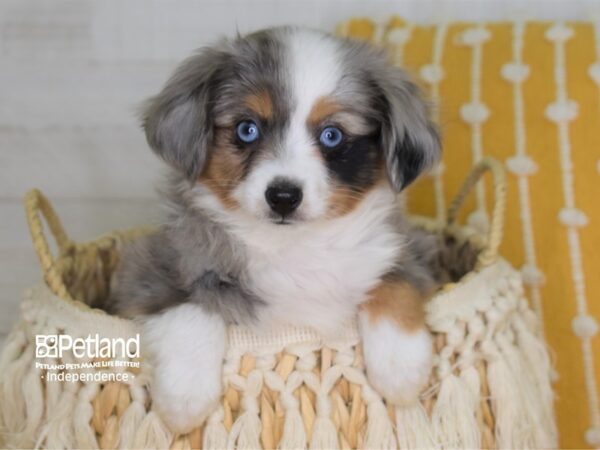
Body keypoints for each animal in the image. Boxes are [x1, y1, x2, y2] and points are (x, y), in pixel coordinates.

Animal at [110, 25, 440, 432]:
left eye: (332, 135)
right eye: (247, 129)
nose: (283, 196)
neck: (294, 245)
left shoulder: (412, 248)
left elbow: (395, 282)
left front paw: (401, 370)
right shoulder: (149, 264)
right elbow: (189, 305)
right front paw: (184, 398)